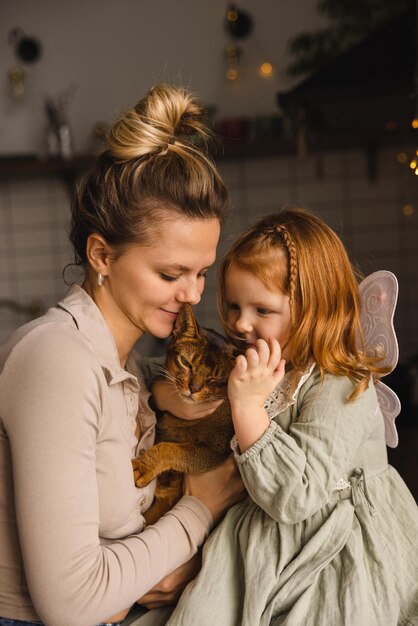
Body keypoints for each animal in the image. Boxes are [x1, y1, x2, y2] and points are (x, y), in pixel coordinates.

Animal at [134, 302, 238, 520]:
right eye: (186, 362)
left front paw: (143, 466)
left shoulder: (214, 452)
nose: (193, 388)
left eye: (214, 379)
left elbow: (173, 449)